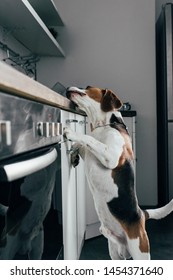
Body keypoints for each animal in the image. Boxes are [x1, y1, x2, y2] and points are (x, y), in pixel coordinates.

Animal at [63, 86, 173, 260]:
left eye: (87, 88)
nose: (67, 87)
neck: (106, 125)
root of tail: (142, 214)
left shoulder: (111, 156)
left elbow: (88, 138)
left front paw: (71, 133)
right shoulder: (94, 152)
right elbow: (85, 144)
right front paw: (74, 153)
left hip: (140, 251)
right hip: (115, 252)